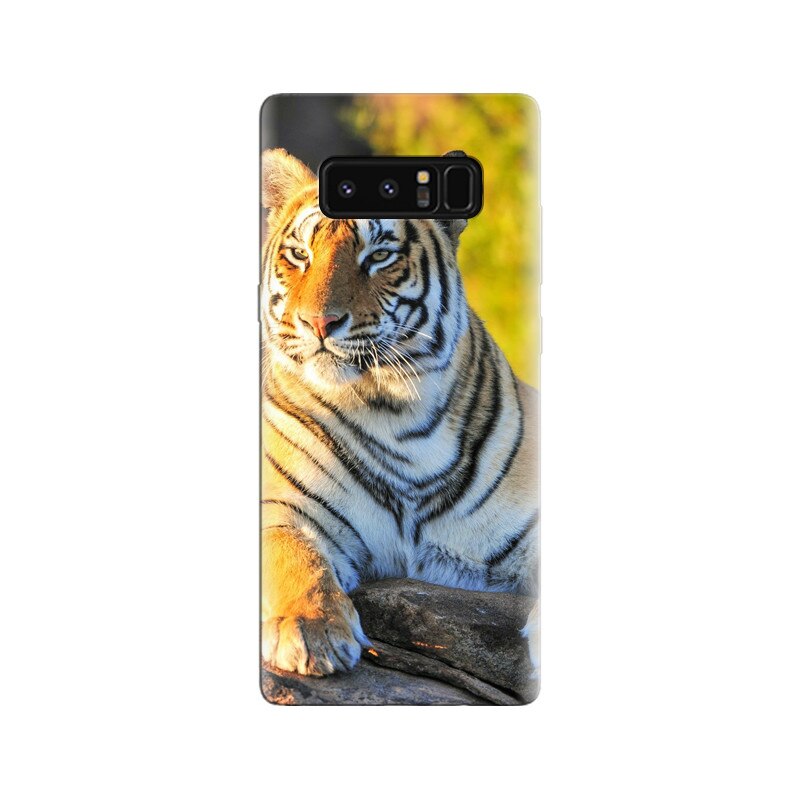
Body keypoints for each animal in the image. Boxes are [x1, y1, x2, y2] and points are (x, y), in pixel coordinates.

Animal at [260, 148, 539, 680]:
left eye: (378, 256)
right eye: (300, 255)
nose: (318, 322)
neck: (395, 414)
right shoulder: (283, 509)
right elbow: (294, 558)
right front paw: (310, 630)